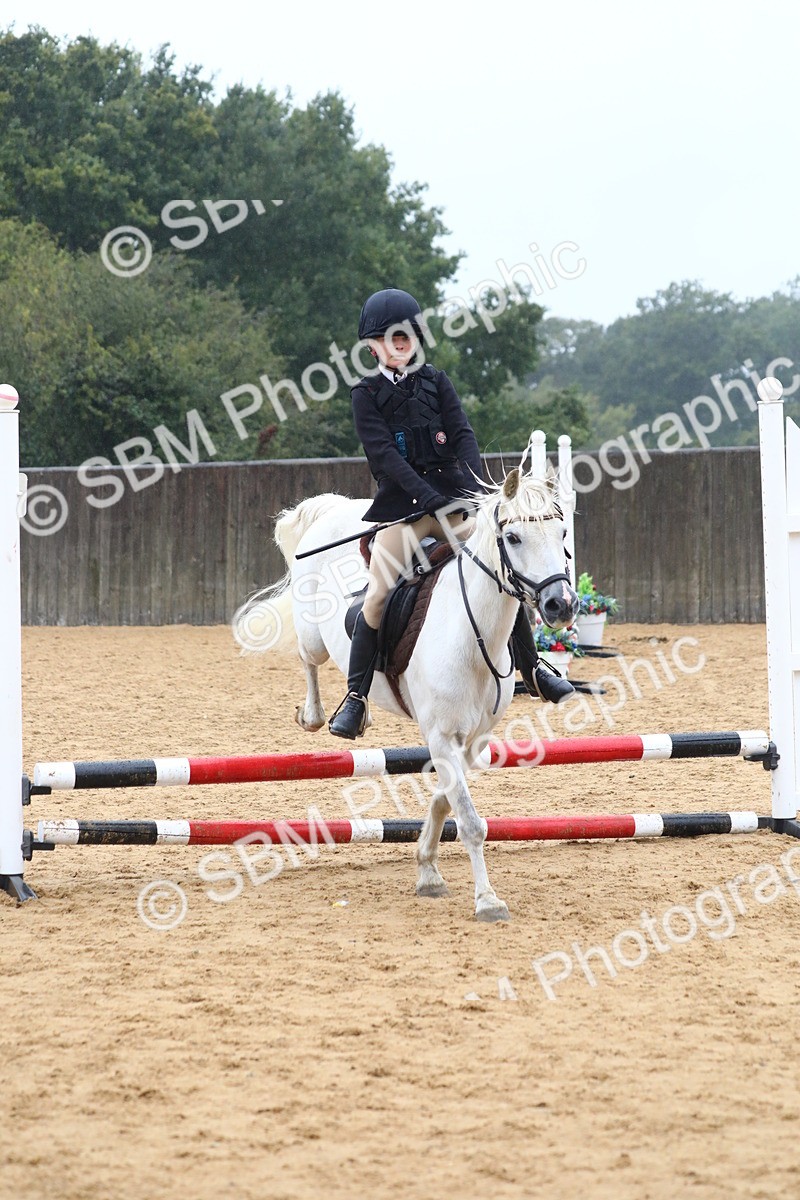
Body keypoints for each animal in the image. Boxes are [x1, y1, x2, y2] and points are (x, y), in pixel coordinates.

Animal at [233, 461, 579, 922]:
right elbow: (470, 821)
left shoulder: (472, 740)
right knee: (311, 660)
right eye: (513, 538)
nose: (562, 605)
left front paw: (428, 870)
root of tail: (336, 508)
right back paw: (326, 715)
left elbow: (445, 801)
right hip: (314, 635)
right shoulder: (441, 735)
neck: (470, 634)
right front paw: (487, 900)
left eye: (562, 533)